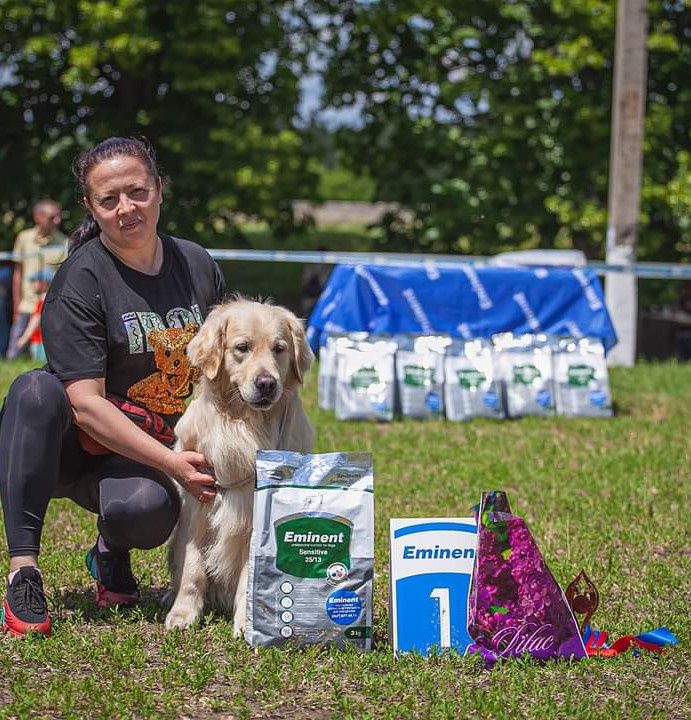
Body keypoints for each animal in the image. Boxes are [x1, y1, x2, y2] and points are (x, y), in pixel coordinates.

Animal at [165, 296, 314, 632]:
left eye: (279, 348)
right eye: (242, 347)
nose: (267, 384)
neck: (246, 425)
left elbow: (251, 574)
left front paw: (248, 624)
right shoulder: (198, 501)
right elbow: (193, 566)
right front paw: (183, 613)